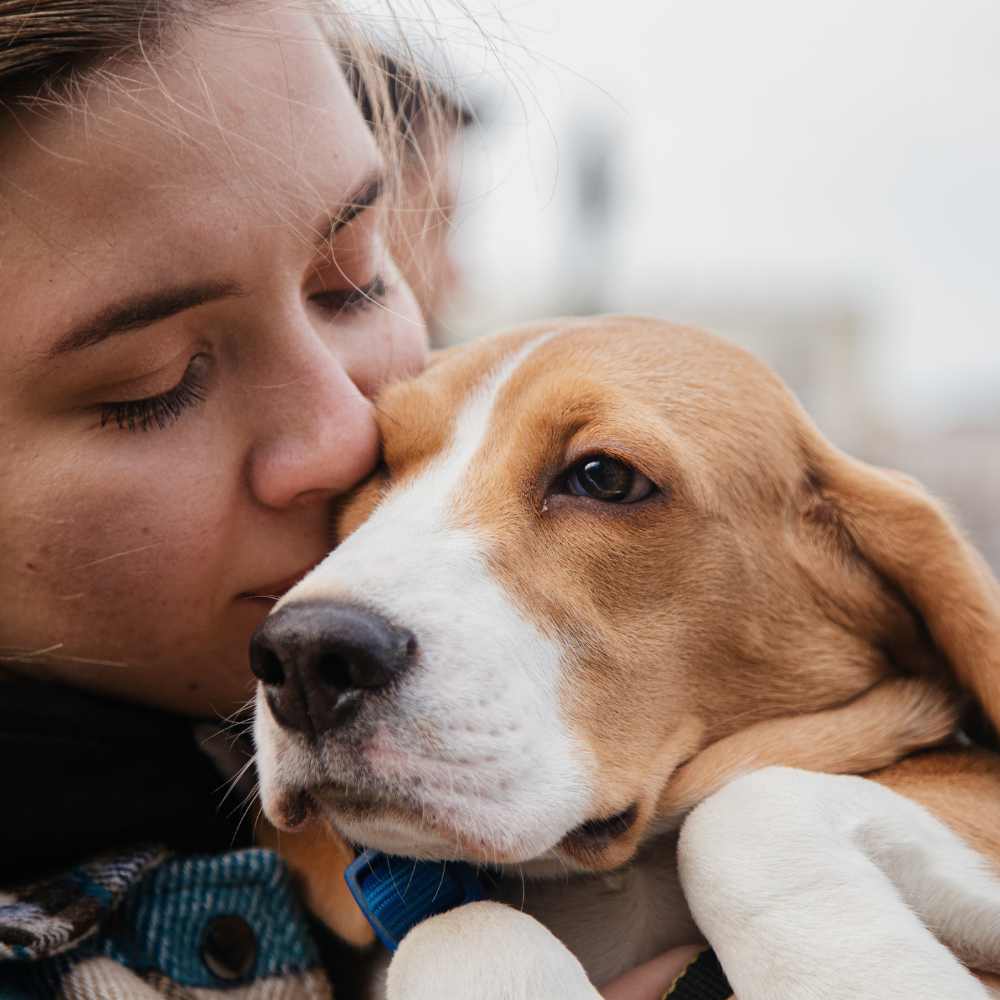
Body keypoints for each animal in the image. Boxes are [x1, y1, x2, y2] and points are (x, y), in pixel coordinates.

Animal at [250, 316, 1000, 996]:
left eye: (604, 476)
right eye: (378, 465)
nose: (305, 656)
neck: (615, 881)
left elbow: (737, 813)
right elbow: (458, 927)